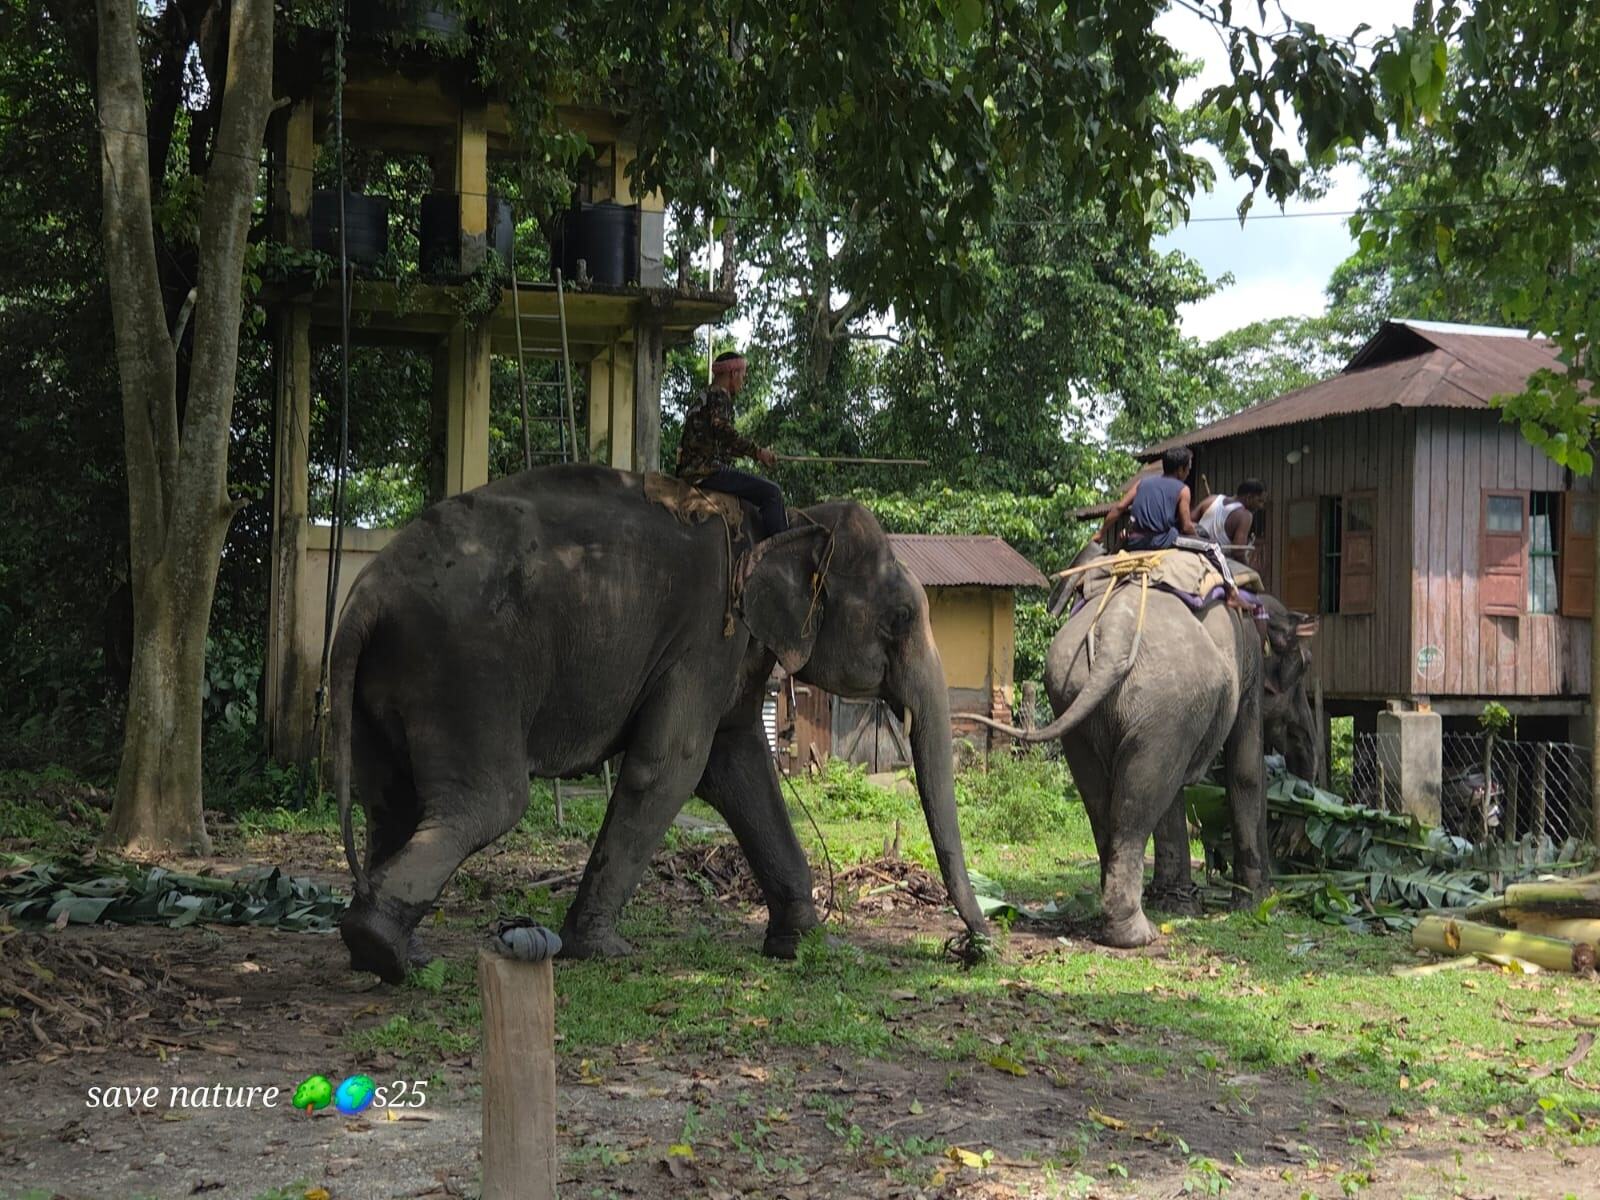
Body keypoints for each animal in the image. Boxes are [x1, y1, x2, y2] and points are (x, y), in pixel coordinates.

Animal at [329, 462, 988, 982]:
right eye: (900, 617)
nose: (972, 949)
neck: (794, 519)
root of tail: (366, 595)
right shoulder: (707, 637)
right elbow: (673, 767)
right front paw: (601, 951)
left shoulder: (733, 648)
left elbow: (738, 767)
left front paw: (799, 944)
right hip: (464, 670)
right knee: (490, 803)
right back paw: (384, 951)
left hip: (393, 678)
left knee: (392, 801)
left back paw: (392, 948)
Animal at [967, 541, 1316, 947]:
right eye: (1304, 667)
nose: (1290, 840)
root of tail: (1115, 636)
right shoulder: (1248, 667)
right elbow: (1245, 771)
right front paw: (1259, 903)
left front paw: (1179, 905)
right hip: (1163, 695)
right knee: (1140, 801)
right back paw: (1136, 934)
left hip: (1085, 697)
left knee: (1115, 792)